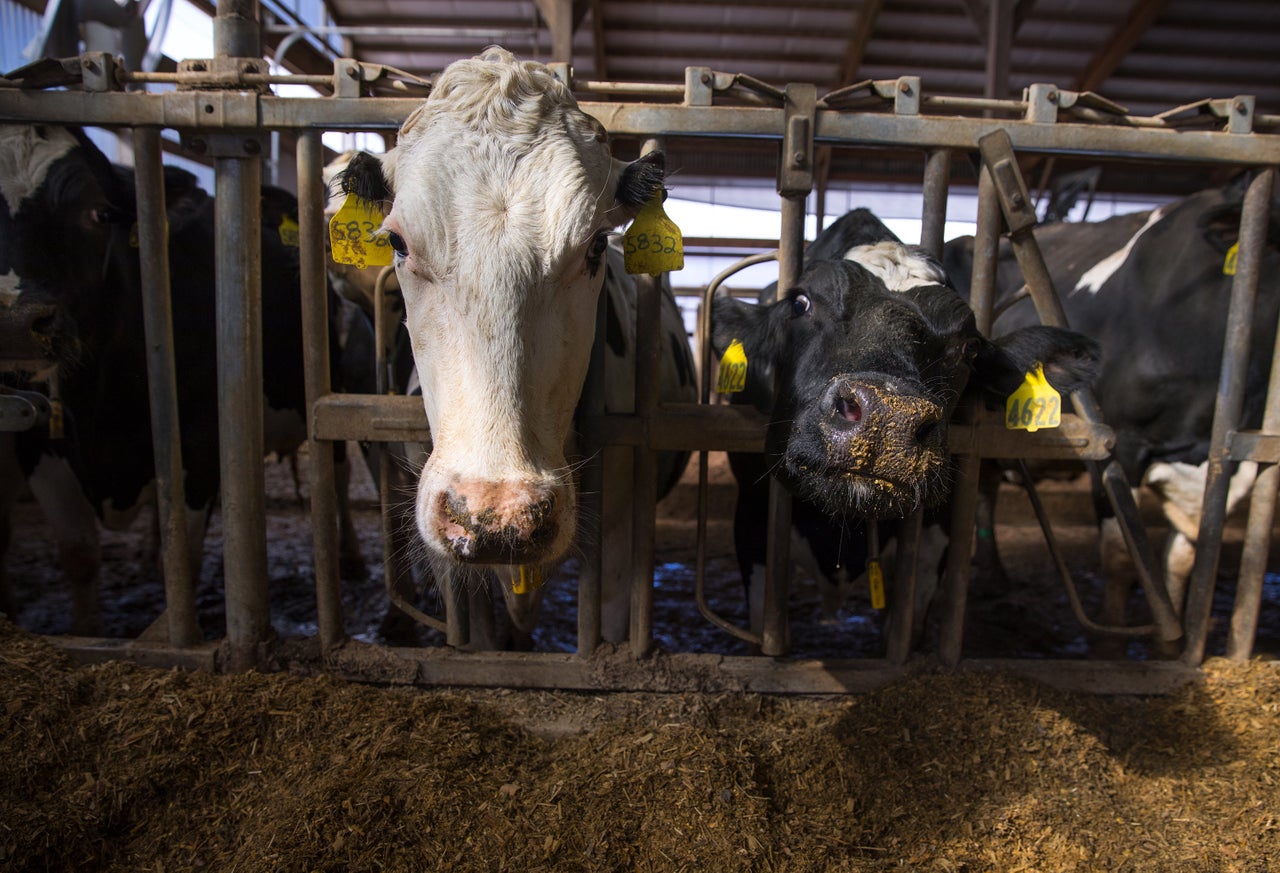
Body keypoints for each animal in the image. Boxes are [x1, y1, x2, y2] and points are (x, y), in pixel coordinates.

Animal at [942, 175, 1280, 640]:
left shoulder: (1231, 460)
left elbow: (1184, 559)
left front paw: (1173, 645)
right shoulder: (1120, 444)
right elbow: (1121, 556)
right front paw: (1113, 644)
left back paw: (993, 576)